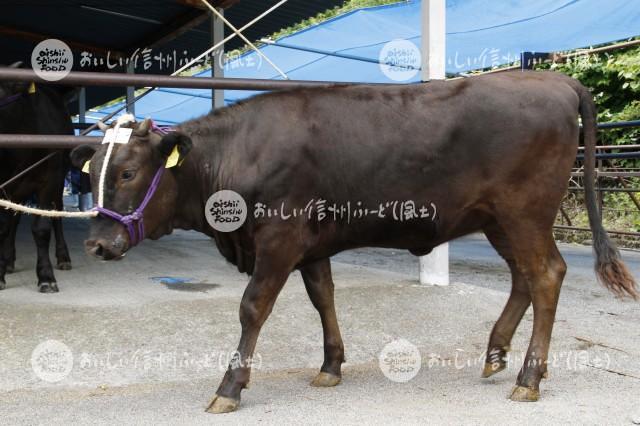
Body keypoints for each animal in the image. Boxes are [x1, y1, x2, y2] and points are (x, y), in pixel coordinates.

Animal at [0, 63, 74, 292]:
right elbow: (4, 226)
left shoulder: (48, 180)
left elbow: (41, 228)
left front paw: (46, 276)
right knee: (13, 220)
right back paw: (8, 260)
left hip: (59, 177)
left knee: (57, 213)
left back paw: (63, 257)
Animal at [69, 70, 636, 412]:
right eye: (91, 172)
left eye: (128, 172)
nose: (96, 246)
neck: (238, 154)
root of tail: (552, 78)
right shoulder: (312, 245)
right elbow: (324, 298)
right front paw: (330, 366)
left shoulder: (279, 239)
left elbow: (253, 307)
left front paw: (229, 387)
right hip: (499, 219)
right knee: (524, 277)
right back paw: (496, 355)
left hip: (525, 212)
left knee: (546, 275)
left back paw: (529, 377)